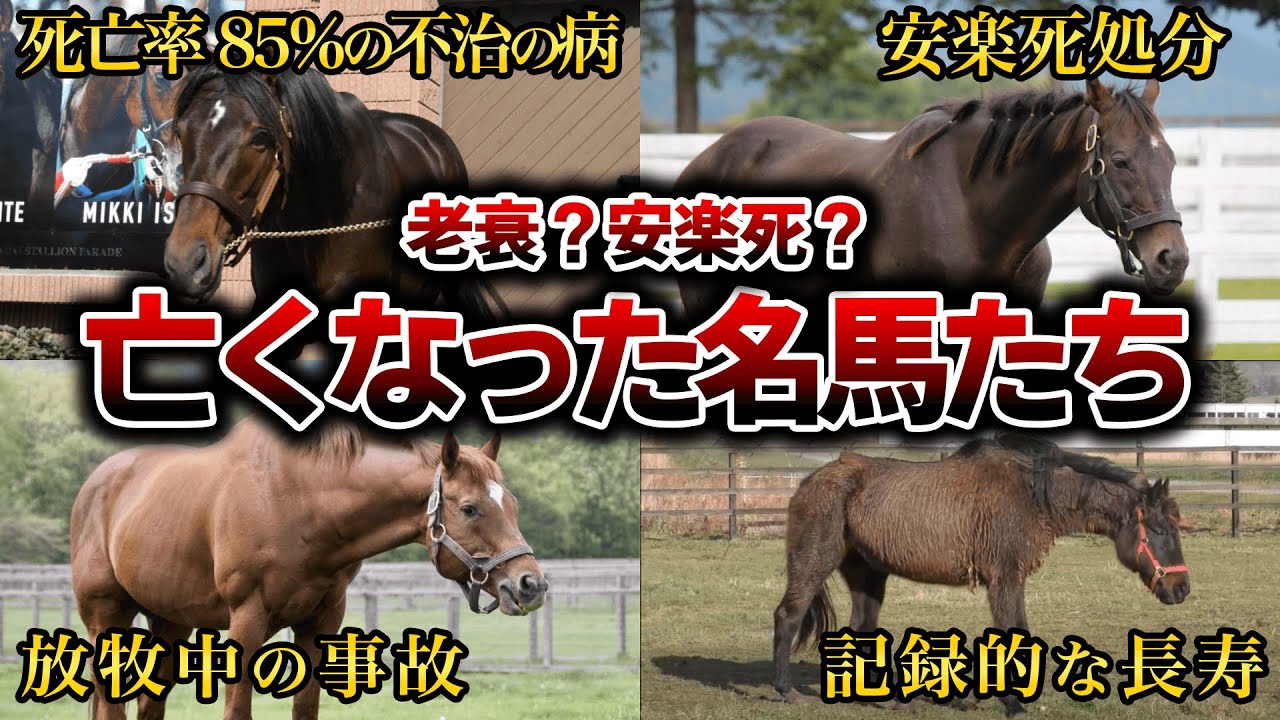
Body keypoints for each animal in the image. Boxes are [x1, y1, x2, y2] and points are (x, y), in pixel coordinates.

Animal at [71, 420, 547, 719]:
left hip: (170, 623)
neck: (297, 499)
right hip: (106, 617)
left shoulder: (321, 621)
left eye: (512, 504)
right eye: (469, 508)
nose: (531, 584)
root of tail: (96, 483)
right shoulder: (246, 619)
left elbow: (306, 708)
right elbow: (238, 709)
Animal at [772, 434, 1190, 715]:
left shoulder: (1012, 579)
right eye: (1159, 530)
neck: (1032, 494)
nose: (1180, 588)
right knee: (788, 615)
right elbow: (1013, 633)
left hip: (869, 576)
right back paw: (786, 690)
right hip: (814, 563)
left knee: (861, 628)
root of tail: (809, 481)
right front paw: (1014, 704)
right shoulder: (1004, 578)